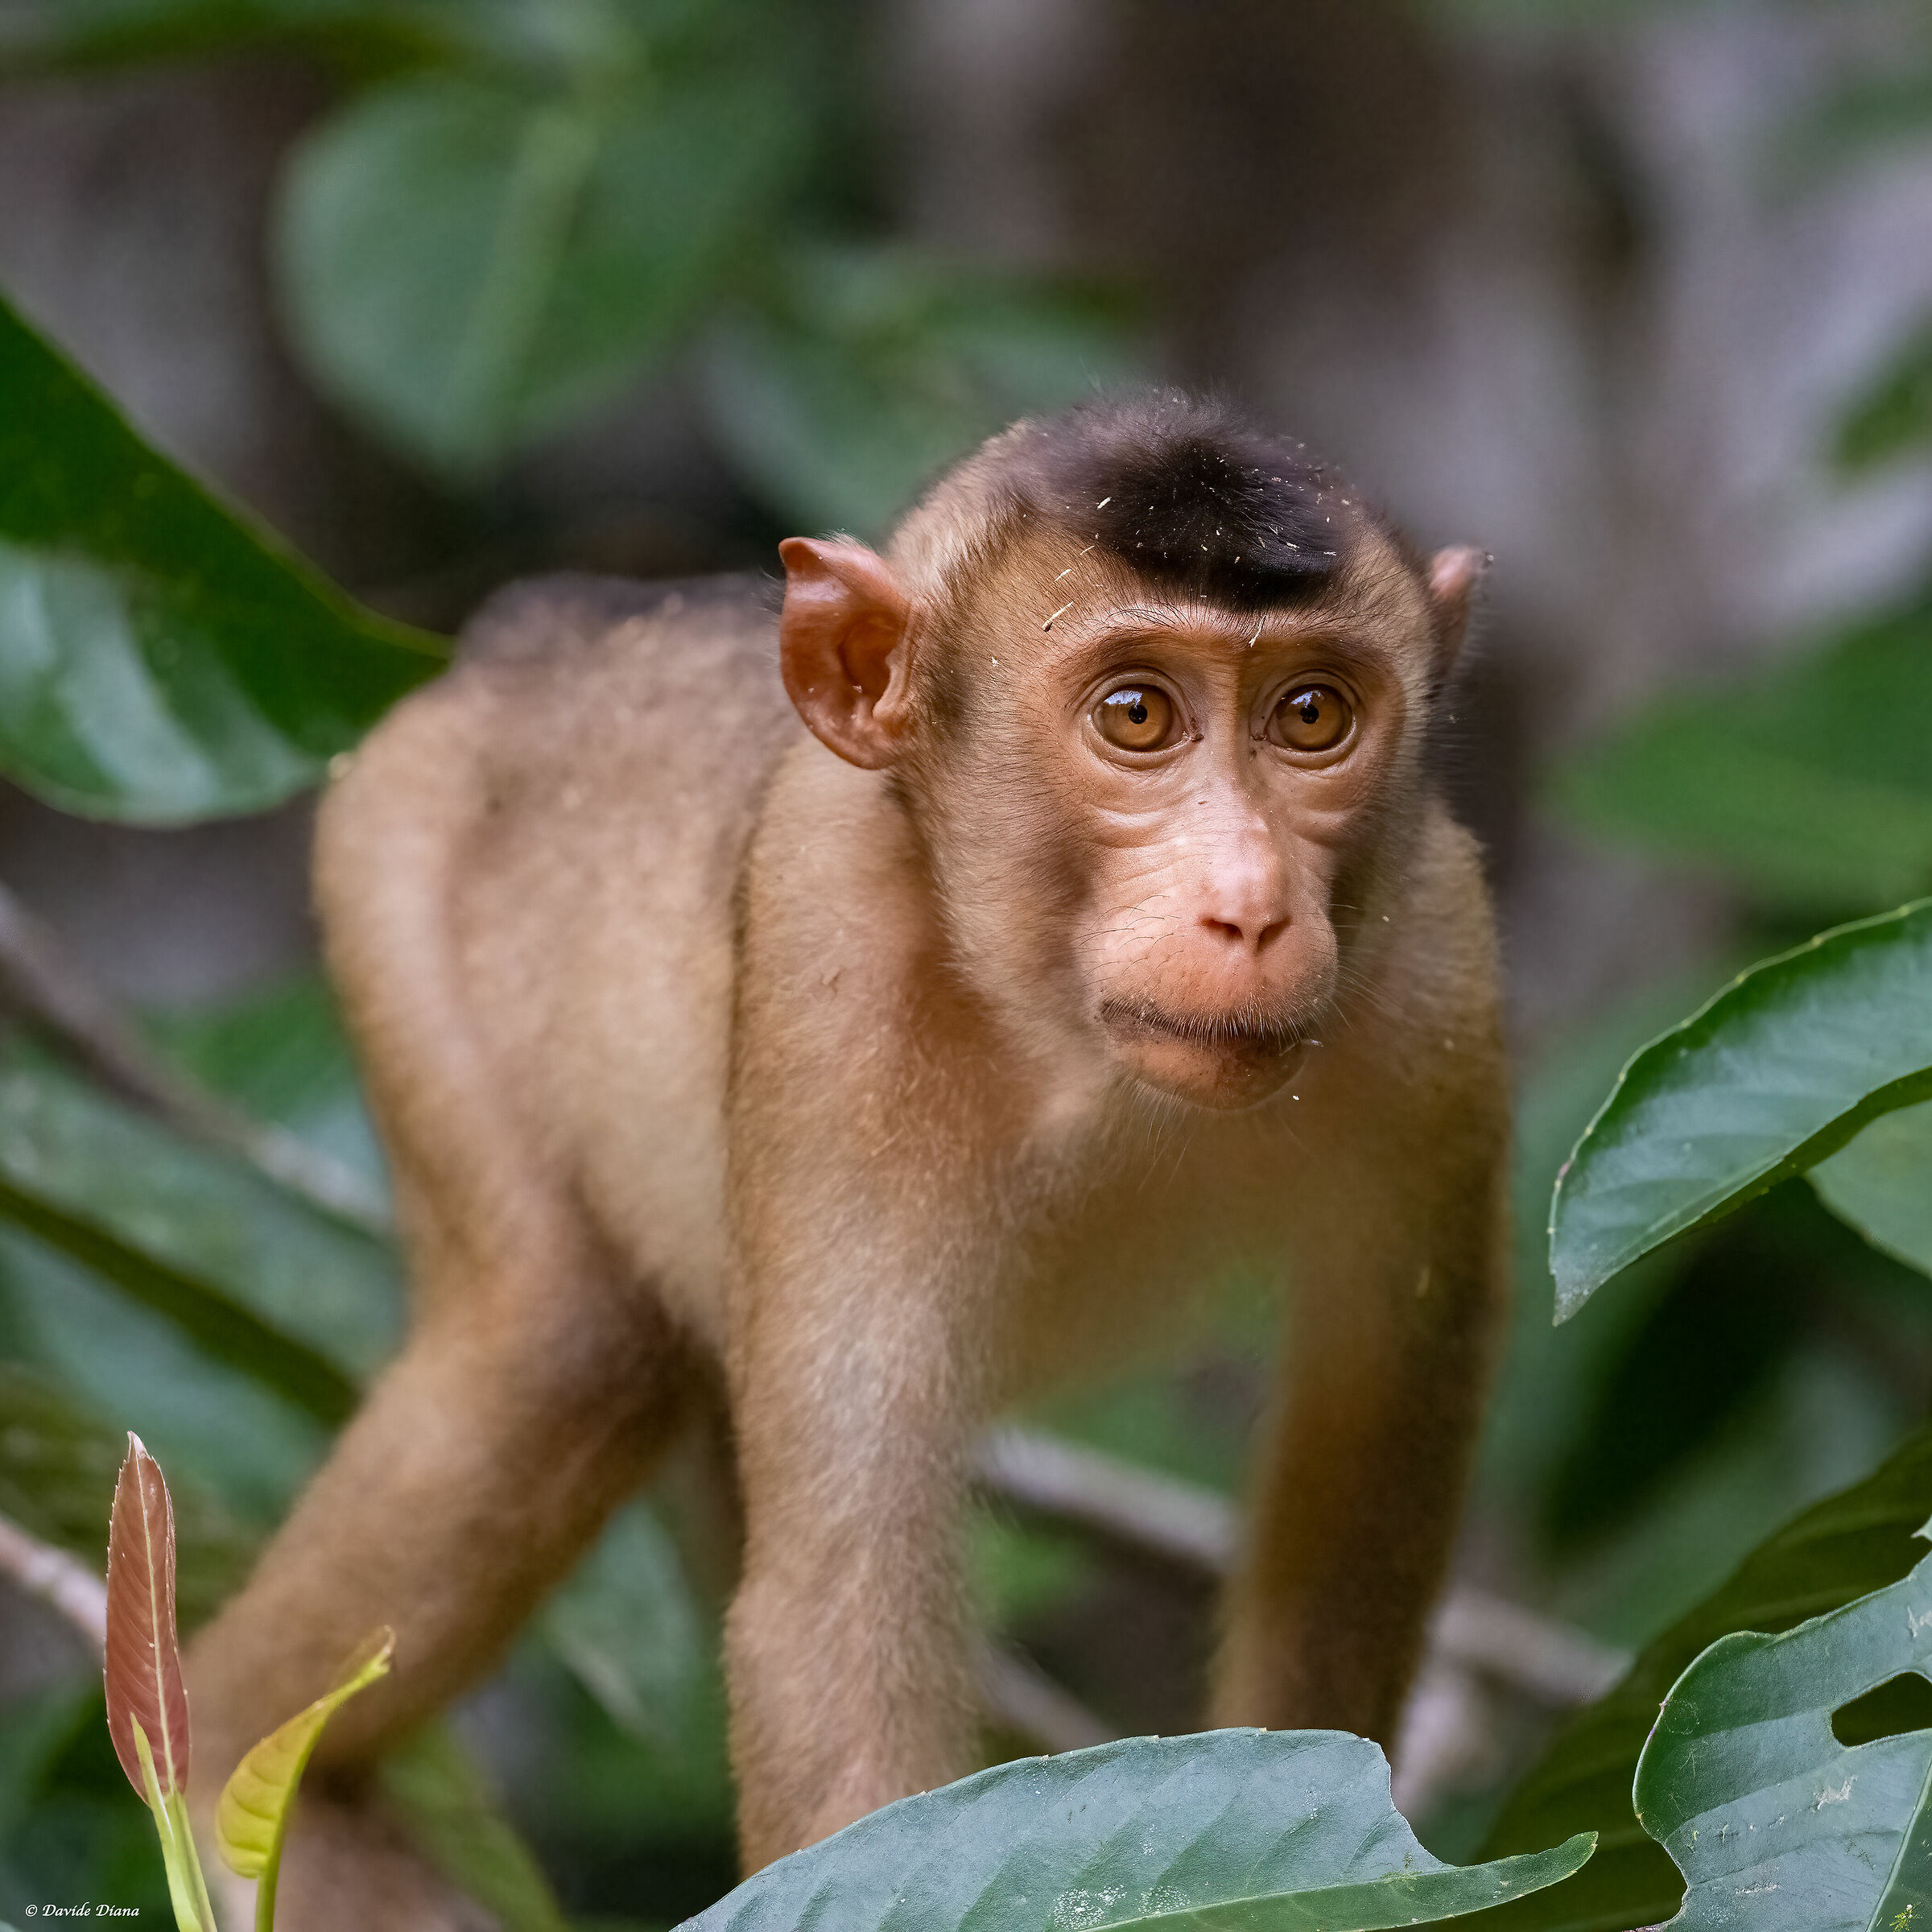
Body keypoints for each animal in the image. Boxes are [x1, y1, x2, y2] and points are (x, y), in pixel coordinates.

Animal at [183, 391, 1508, 1929]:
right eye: (1136, 715)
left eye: (1313, 716)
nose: (1249, 908)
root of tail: (539, 625)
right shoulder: (834, 972)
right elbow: (837, 1612)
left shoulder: (1437, 973)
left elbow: (1361, 1507)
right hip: (394, 853)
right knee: (565, 1340)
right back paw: (232, 1762)